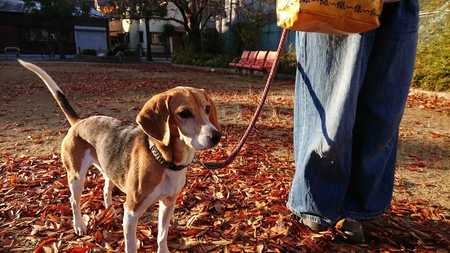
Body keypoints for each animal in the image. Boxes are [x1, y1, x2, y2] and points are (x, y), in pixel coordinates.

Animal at [18, 59, 221, 253]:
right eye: (184, 113)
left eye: (207, 108)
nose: (216, 136)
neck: (164, 161)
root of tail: (79, 122)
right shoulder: (131, 212)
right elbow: (131, 246)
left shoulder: (168, 204)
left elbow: (162, 236)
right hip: (76, 176)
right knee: (74, 201)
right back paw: (79, 225)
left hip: (107, 170)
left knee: (105, 189)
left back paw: (110, 212)